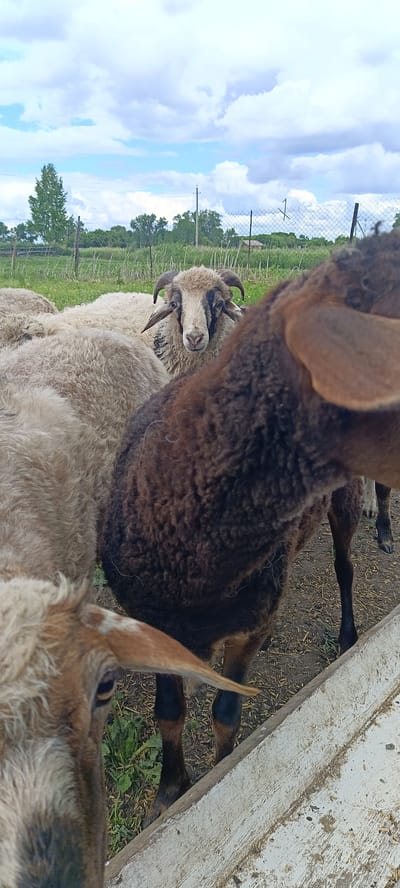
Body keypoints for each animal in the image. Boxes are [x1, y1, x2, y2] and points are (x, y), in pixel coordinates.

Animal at [101, 228, 400, 823]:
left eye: (220, 304)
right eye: (175, 304)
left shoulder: (243, 633)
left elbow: (225, 716)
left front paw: (217, 781)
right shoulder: (153, 620)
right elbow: (168, 711)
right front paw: (169, 790)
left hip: (342, 506)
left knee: (344, 567)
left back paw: (348, 631)